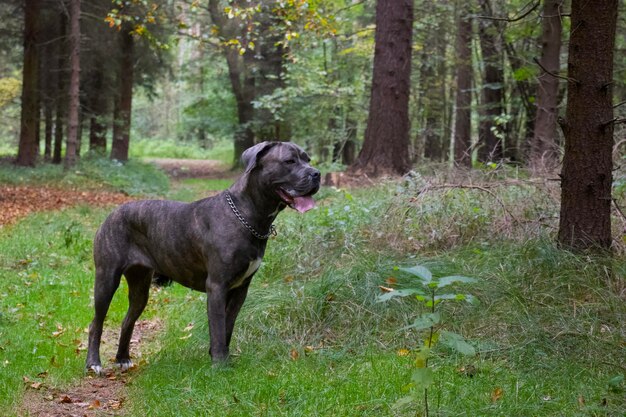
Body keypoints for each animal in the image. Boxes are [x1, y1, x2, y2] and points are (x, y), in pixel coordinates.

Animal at [85, 141, 320, 372]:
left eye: (308, 159)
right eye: (289, 161)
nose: (317, 173)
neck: (247, 215)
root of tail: (112, 213)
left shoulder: (240, 289)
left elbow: (227, 325)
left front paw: (223, 359)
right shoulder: (217, 286)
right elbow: (217, 327)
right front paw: (219, 366)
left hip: (140, 285)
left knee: (128, 320)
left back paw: (122, 358)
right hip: (107, 278)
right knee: (96, 323)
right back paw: (93, 363)